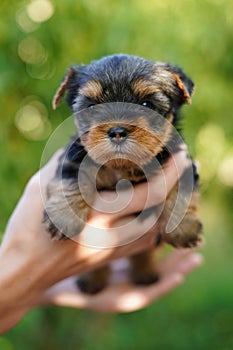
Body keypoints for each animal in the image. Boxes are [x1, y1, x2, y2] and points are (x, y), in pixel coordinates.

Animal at [43, 54, 202, 294]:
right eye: (92, 106)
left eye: (146, 104)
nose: (117, 131)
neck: (122, 166)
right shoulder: (74, 157)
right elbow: (71, 180)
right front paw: (64, 215)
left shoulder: (182, 163)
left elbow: (181, 190)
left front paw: (184, 229)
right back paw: (93, 281)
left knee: (142, 253)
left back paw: (144, 273)